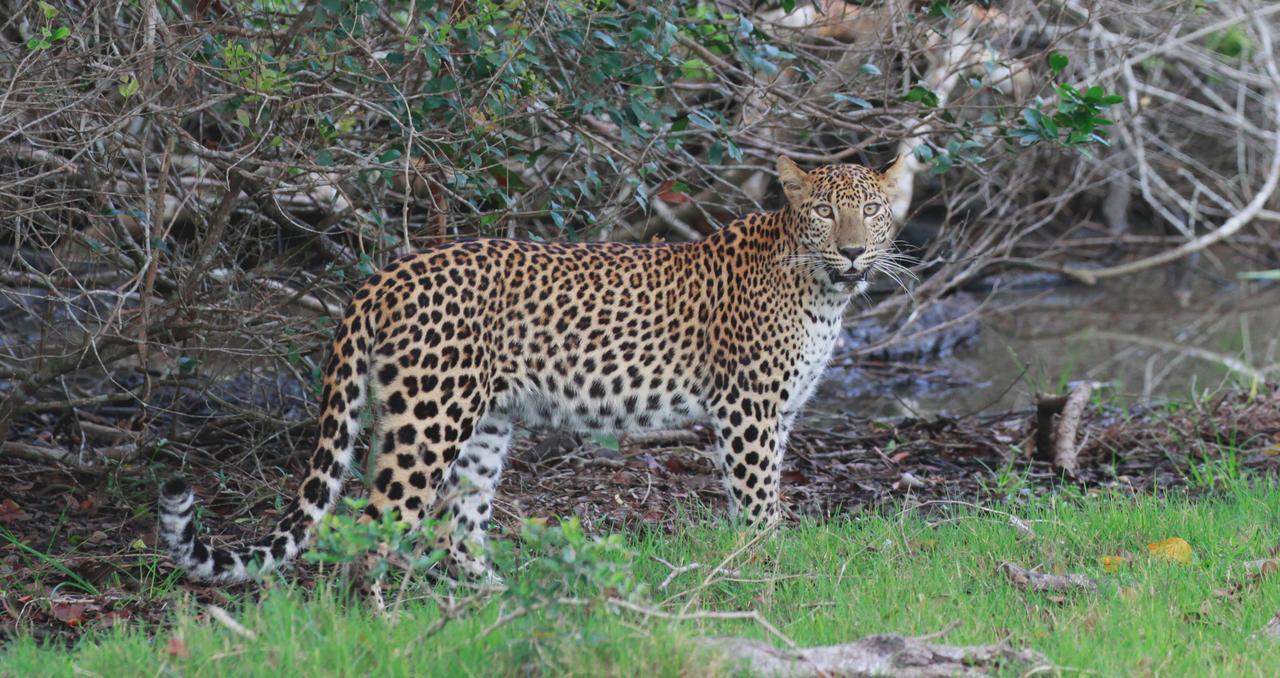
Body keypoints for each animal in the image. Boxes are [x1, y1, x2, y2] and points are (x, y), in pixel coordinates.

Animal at [157, 154, 911, 580]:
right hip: (428, 420)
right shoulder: (749, 408)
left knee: (458, 527)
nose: (853, 251)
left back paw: (488, 605)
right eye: (824, 212)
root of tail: (386, 274)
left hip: (482, 424)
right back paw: (381, 622)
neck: (823, 289)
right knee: (377, 527)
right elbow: (757, 502)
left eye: (873, 210)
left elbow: (763, 496)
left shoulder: (778, 414)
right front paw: (766, 569)